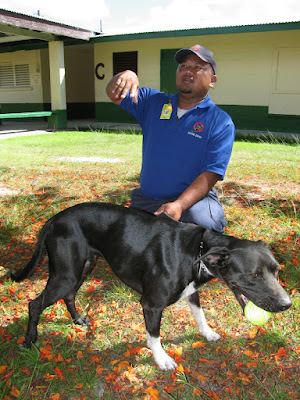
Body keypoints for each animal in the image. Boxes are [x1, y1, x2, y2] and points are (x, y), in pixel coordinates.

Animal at [11, 203, 290, 372]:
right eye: (253, 275)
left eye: (277, 270)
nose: (287, 304)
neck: (198, 250)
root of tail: (55, 218)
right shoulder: (152, 305)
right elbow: (155, 335)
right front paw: (161, 358)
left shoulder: (192, 293)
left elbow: (200, 316)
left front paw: (207, 333)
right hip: (66, 273)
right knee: (35, 304)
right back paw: (29, 340)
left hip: (83, 266)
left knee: (69, 295)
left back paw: (78, 319)